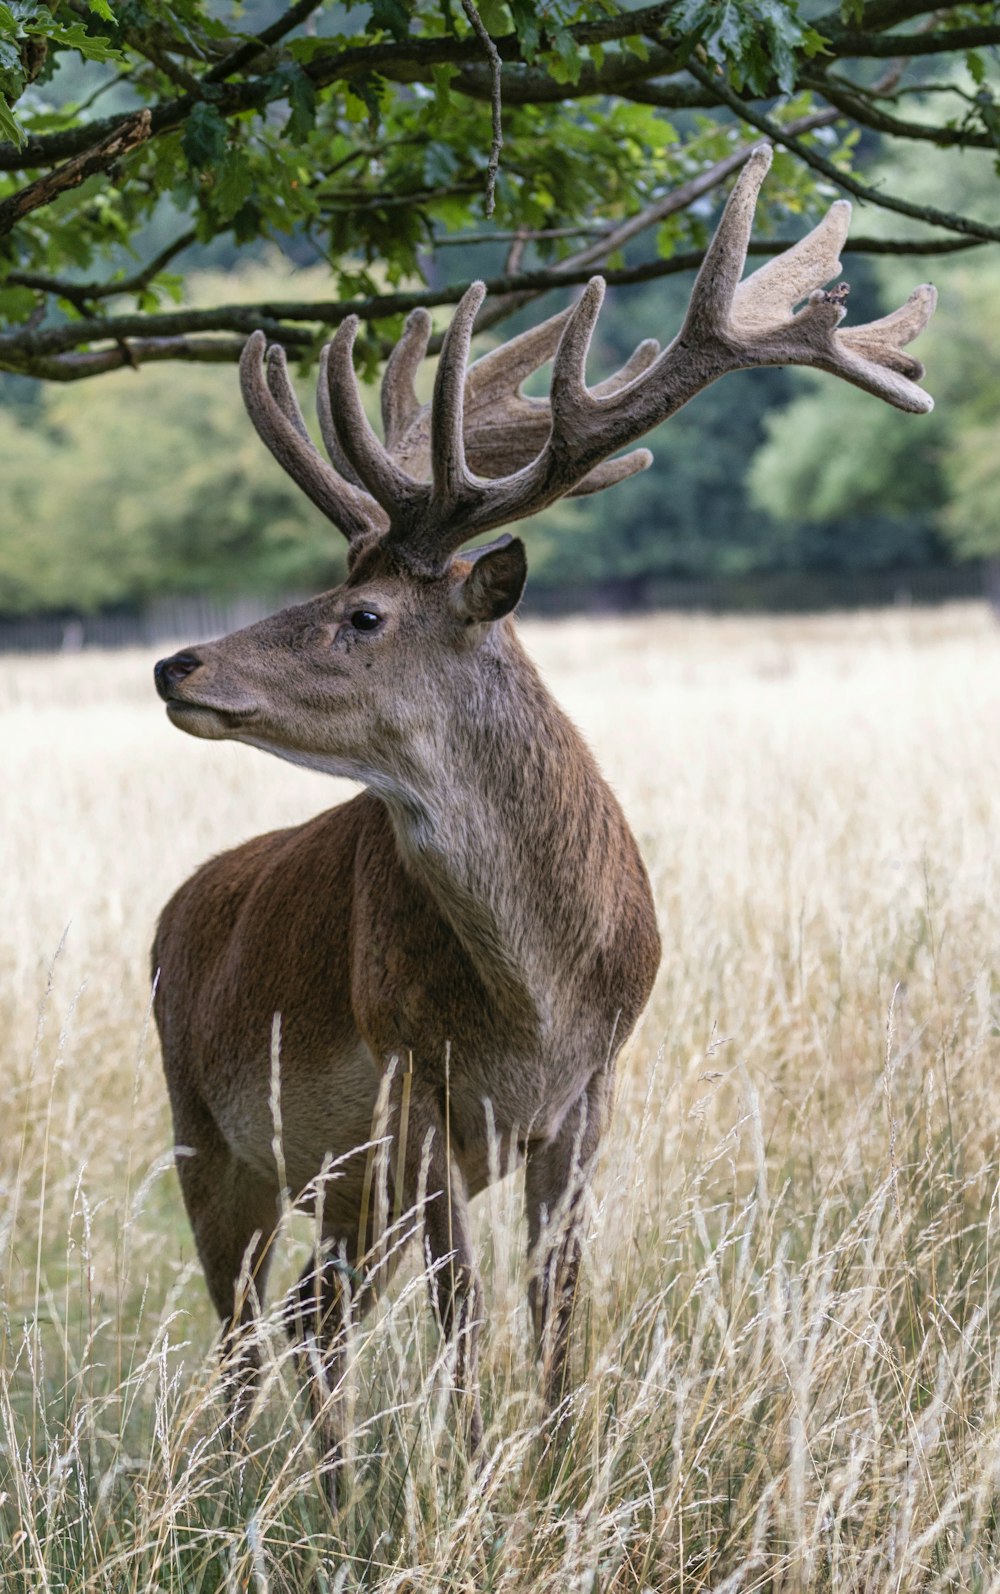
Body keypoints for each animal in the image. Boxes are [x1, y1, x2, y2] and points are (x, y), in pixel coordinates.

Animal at [152, 143, 937, 1498]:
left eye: (362, 615)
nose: (177, 664)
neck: (537, 996)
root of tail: (175, 910)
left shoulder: (586, 1094)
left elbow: (555, 1308)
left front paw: (554, 1482)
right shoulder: (415, 1075)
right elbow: (466, 1315)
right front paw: (479, 1484)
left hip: (328, 1181)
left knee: (304, 1319)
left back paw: (328, 1496)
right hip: (208, 1130)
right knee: (249, 1331)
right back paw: (240, 1501)